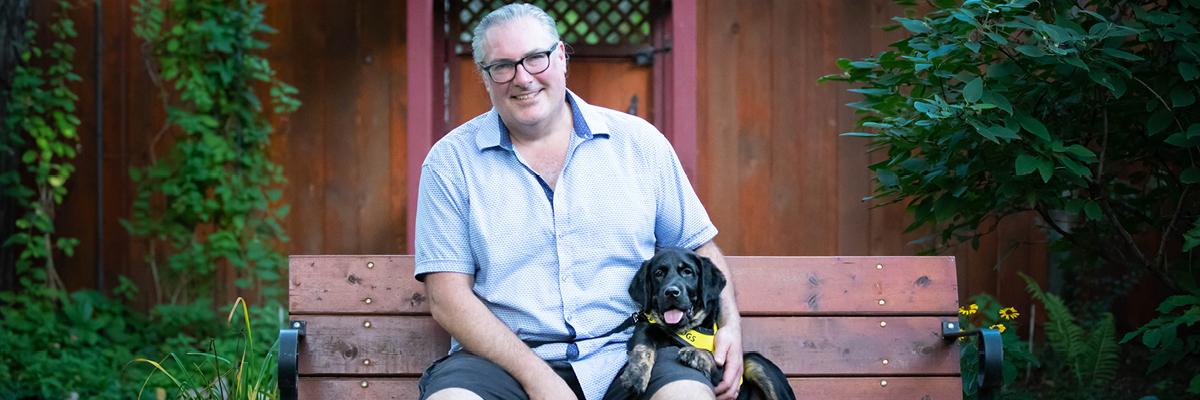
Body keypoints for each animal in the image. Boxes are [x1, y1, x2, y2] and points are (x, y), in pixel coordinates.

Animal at [619, 246, 796, 398]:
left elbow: (713, 356)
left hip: (755, 362)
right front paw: (636, 374)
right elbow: (642, 346)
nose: (671, 292)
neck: (682, 330)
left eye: (687, 272)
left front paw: (695, 353)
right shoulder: (645, 328)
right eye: (658, 273)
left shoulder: (726, 373)